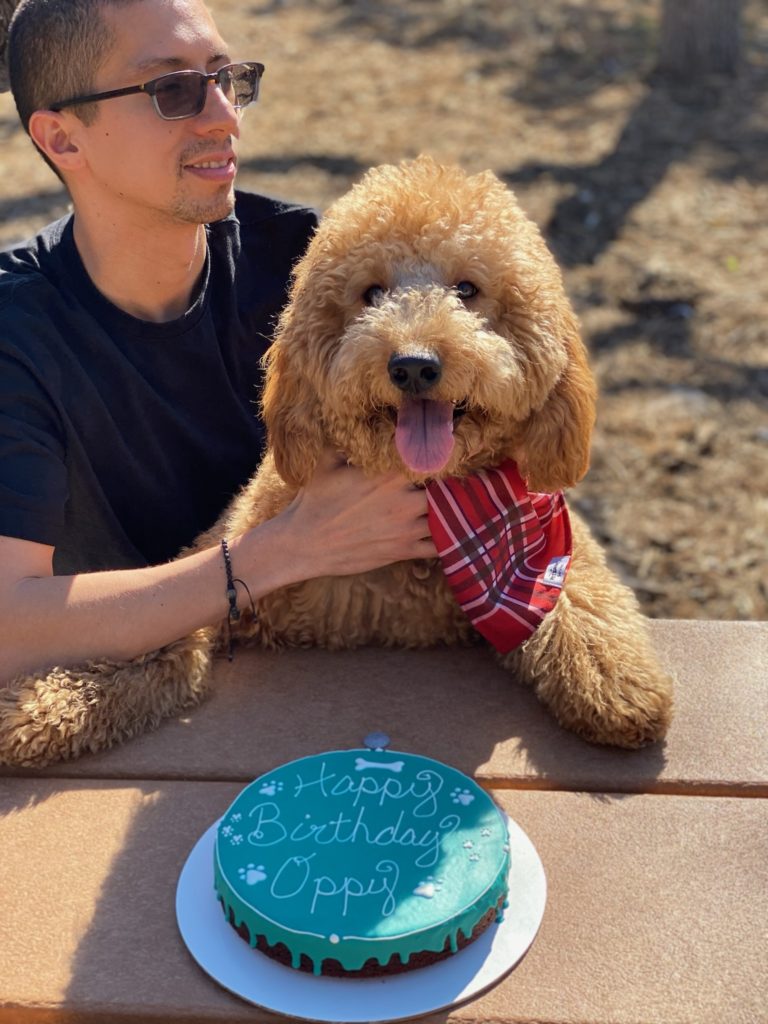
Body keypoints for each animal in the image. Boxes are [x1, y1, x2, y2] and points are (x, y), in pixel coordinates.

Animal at [0, 157, 671, 770]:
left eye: (467, 289)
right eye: (371, 293)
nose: (414, 365)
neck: (434, 503)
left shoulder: (550, 533)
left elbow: (581, 600)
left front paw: (618, 684)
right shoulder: (226, 564)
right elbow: (157, 630)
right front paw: (40, 706)